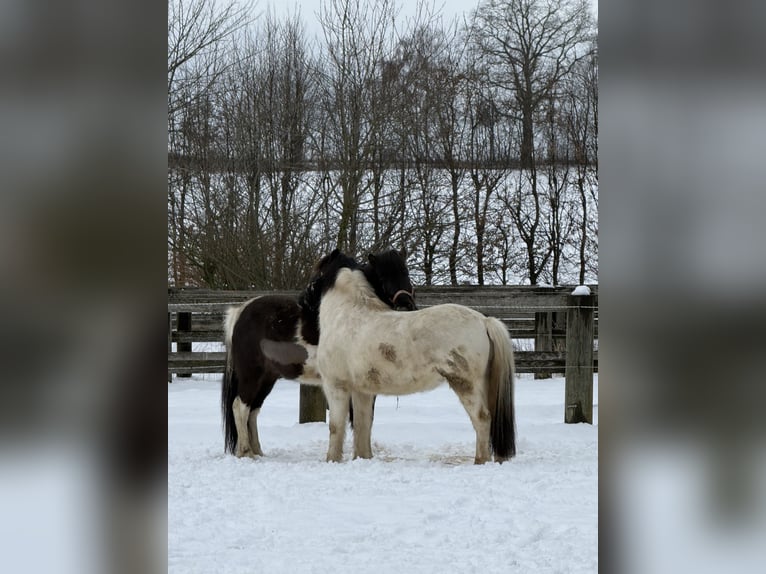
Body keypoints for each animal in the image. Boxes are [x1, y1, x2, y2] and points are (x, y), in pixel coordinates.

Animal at [221, 249, 416, 458]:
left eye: (406, 272)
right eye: (381, 276)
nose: (405, 305)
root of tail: (239, 313)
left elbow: (365, 421)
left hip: (267, 378)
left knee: (253, 411)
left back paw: (258, 452)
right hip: (251, 375)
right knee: (240, 408)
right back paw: (246, 452)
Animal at [307, 255, 516, 464]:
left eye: (316, 275)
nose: (306, 299)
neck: (346, 314)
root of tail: (484, 321)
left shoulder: (336, 386)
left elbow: (336, 427)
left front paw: (332, 459)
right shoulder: (362, 391)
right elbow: (362, 425)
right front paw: (362, 458)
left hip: (467, 385)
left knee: (482, 418)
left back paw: (480, 460)